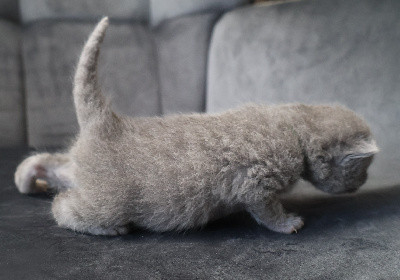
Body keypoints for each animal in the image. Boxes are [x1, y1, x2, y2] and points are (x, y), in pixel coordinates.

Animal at [14, 17, 378, 235]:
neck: (292, 124)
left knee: (57, 164)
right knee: (64, 207)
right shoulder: (254, 182)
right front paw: (287, 222)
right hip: (106, 201)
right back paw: (105, 227)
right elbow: (265, 209)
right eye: (363, 169)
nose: (364, 183)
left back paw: (29, 177)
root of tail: (107, 121)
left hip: (82, 172)